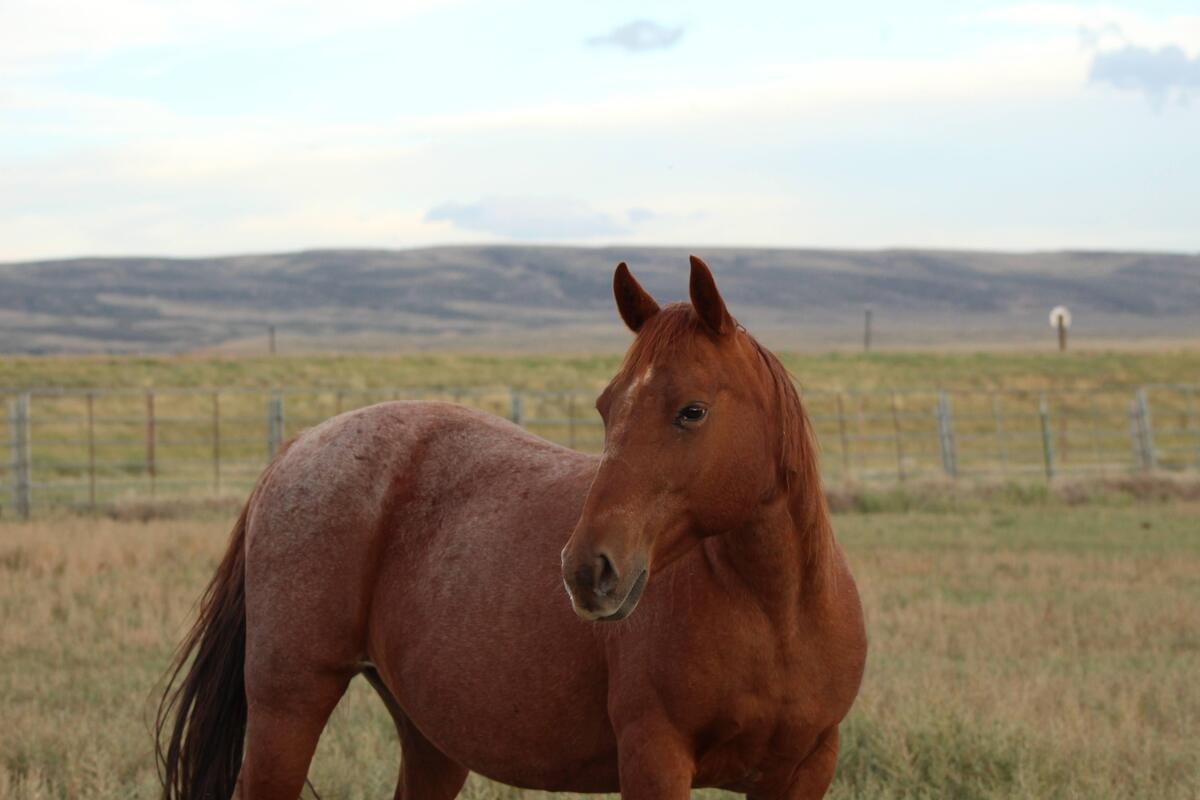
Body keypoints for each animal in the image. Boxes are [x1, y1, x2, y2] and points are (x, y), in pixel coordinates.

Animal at [157, 256, 867, 799]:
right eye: (606, 406)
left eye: (692, 411)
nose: (586, 570)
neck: (776, 613)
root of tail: (300, 446)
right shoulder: (655, 760)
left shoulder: (805, 771)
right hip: (290, 706)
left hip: (430, 739)